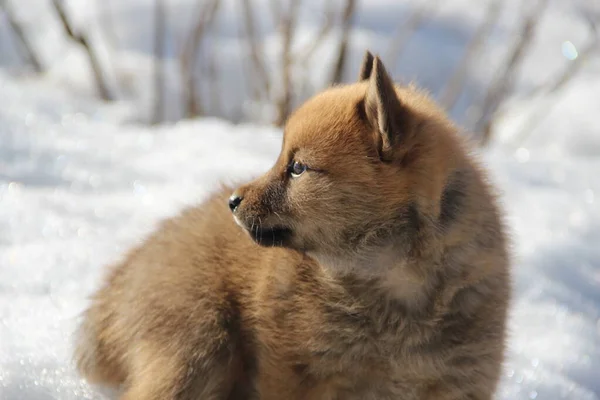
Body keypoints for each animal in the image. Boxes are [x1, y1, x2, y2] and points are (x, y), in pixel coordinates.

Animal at [72, 53, 508, 400]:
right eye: (282, 158)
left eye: (298, 168)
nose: (233, 201)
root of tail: (111, 289)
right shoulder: (295, 374)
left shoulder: (459, 381)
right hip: (199, 347)